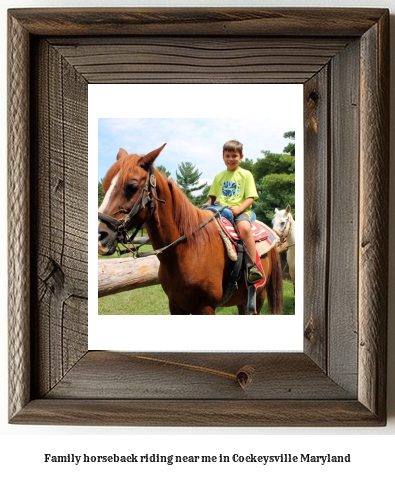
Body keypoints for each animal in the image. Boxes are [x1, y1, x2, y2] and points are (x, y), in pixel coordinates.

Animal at [99, 146, 284, 318]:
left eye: (132, 186)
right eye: (106, 185)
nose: (101, 235)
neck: (188, 249)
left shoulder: (205, 308)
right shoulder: (175, 306)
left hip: (258, 296)